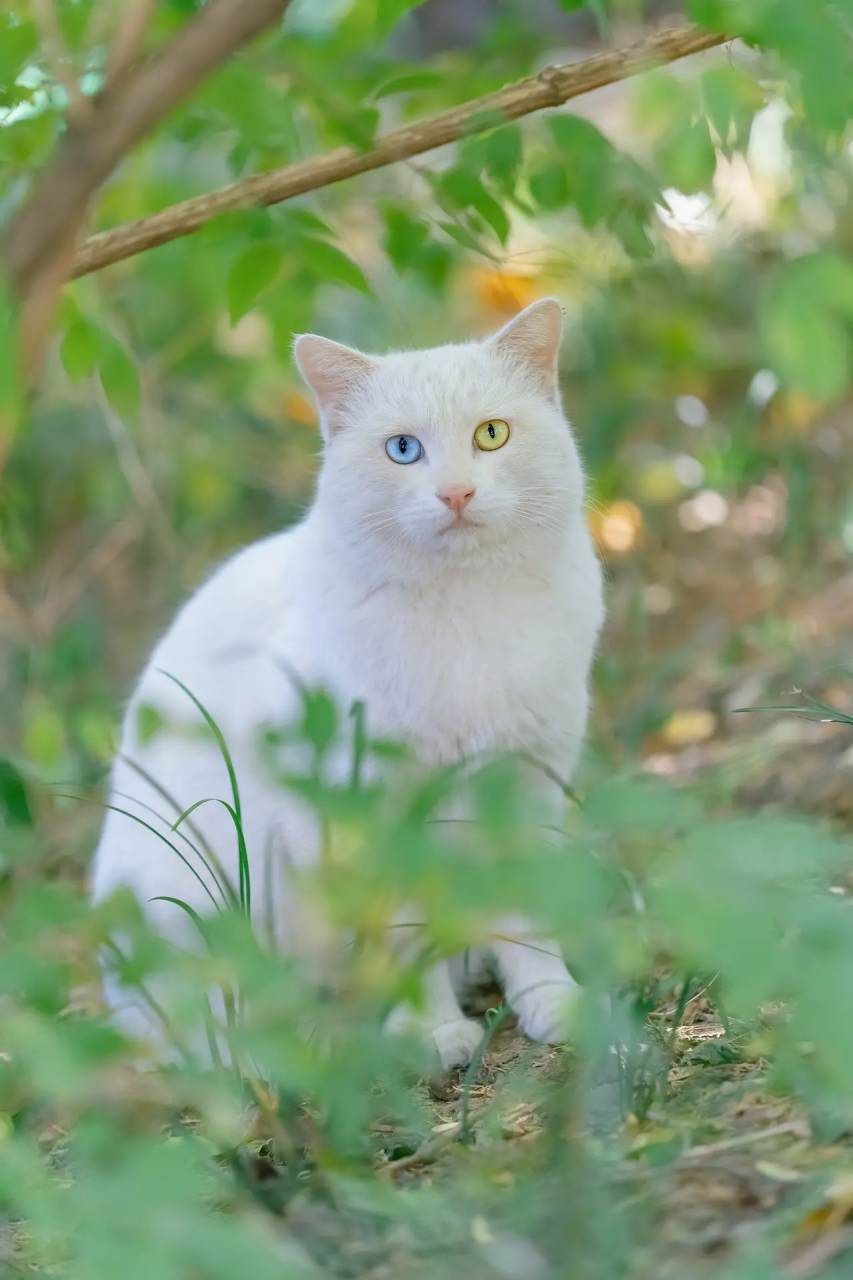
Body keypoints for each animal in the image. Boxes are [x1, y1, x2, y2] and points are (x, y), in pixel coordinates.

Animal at [89, 299, 601, 1070]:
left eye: (491, 435)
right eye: (403, 450)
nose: (456, 492)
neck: (463, 608)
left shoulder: (526, 780)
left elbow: (525, 916)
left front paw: (551, 1000)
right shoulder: (358, 811)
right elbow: (396, 935)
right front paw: (430, 1032)